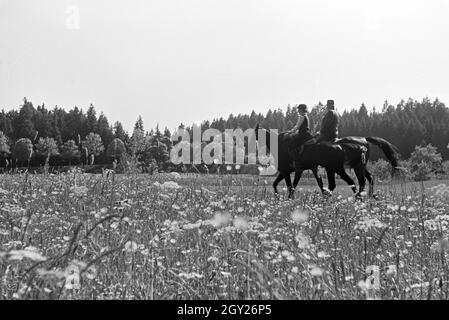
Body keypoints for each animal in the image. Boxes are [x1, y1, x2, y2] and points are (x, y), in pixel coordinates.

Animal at [256, 124, 400, 198]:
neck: (281, 145)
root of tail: (363, 141)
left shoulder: (290, 170)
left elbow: (291, 185)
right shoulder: (306, 169)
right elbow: (278, 184)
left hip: (343, 168)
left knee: (356, 181)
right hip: (353, 167)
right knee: (366, 179)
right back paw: (366, 195)